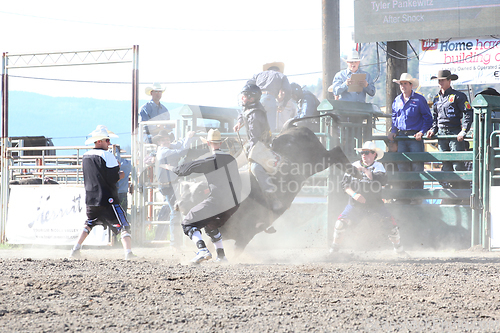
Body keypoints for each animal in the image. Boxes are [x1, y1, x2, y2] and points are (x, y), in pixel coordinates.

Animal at [176, 120, 352, 253]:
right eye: (184, 189)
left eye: (199, 190)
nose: (178, 204)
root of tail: (292, 127)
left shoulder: (246, 234)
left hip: (318, 160)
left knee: (336, 152)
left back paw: (354, 171)